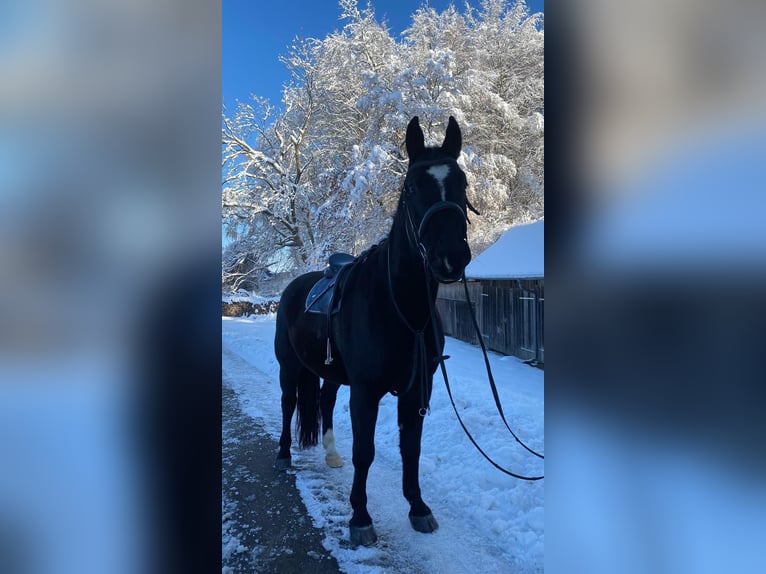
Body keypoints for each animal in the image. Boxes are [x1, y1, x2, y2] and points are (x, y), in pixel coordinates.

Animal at [272, 117, 472, 548]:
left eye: (462, 182)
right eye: (411, 187)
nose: (451, 256)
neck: (402, 309)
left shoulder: (417, 391)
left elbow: (411, 448)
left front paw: (418, 508)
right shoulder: (365, 391)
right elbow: (365, 451)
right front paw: (360, 517)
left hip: (331, 372)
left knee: (325, 401)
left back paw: (330, 454)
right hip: (289, 368)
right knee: (288, 404)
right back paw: (283, 455)